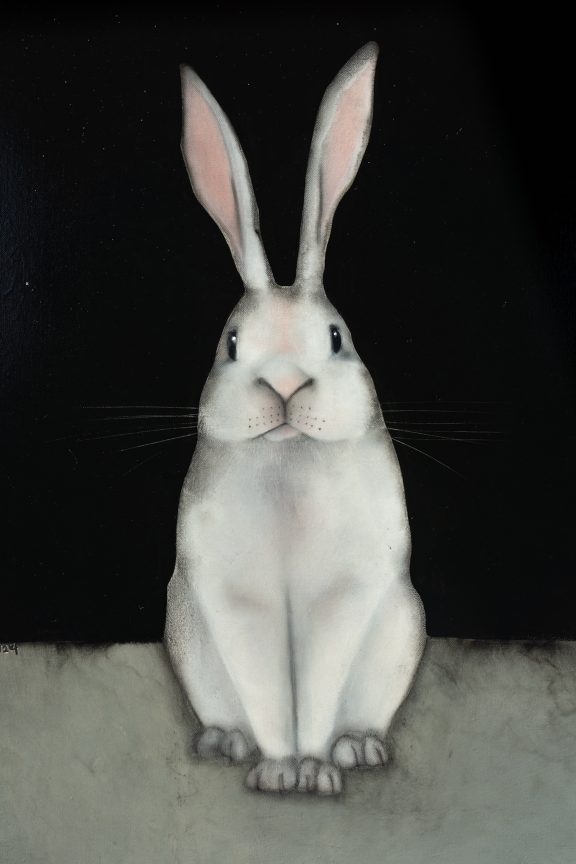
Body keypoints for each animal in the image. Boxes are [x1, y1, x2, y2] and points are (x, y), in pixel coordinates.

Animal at [164, 41, 426, 796]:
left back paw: (357, 747)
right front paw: (280, 770)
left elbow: (316, 686)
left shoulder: (343, 598)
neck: (287, 460)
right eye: (231, 343)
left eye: (336, 337)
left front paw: (313, 770)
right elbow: (267, 691)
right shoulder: (236, 604)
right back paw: (226, 741)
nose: (284, 384)